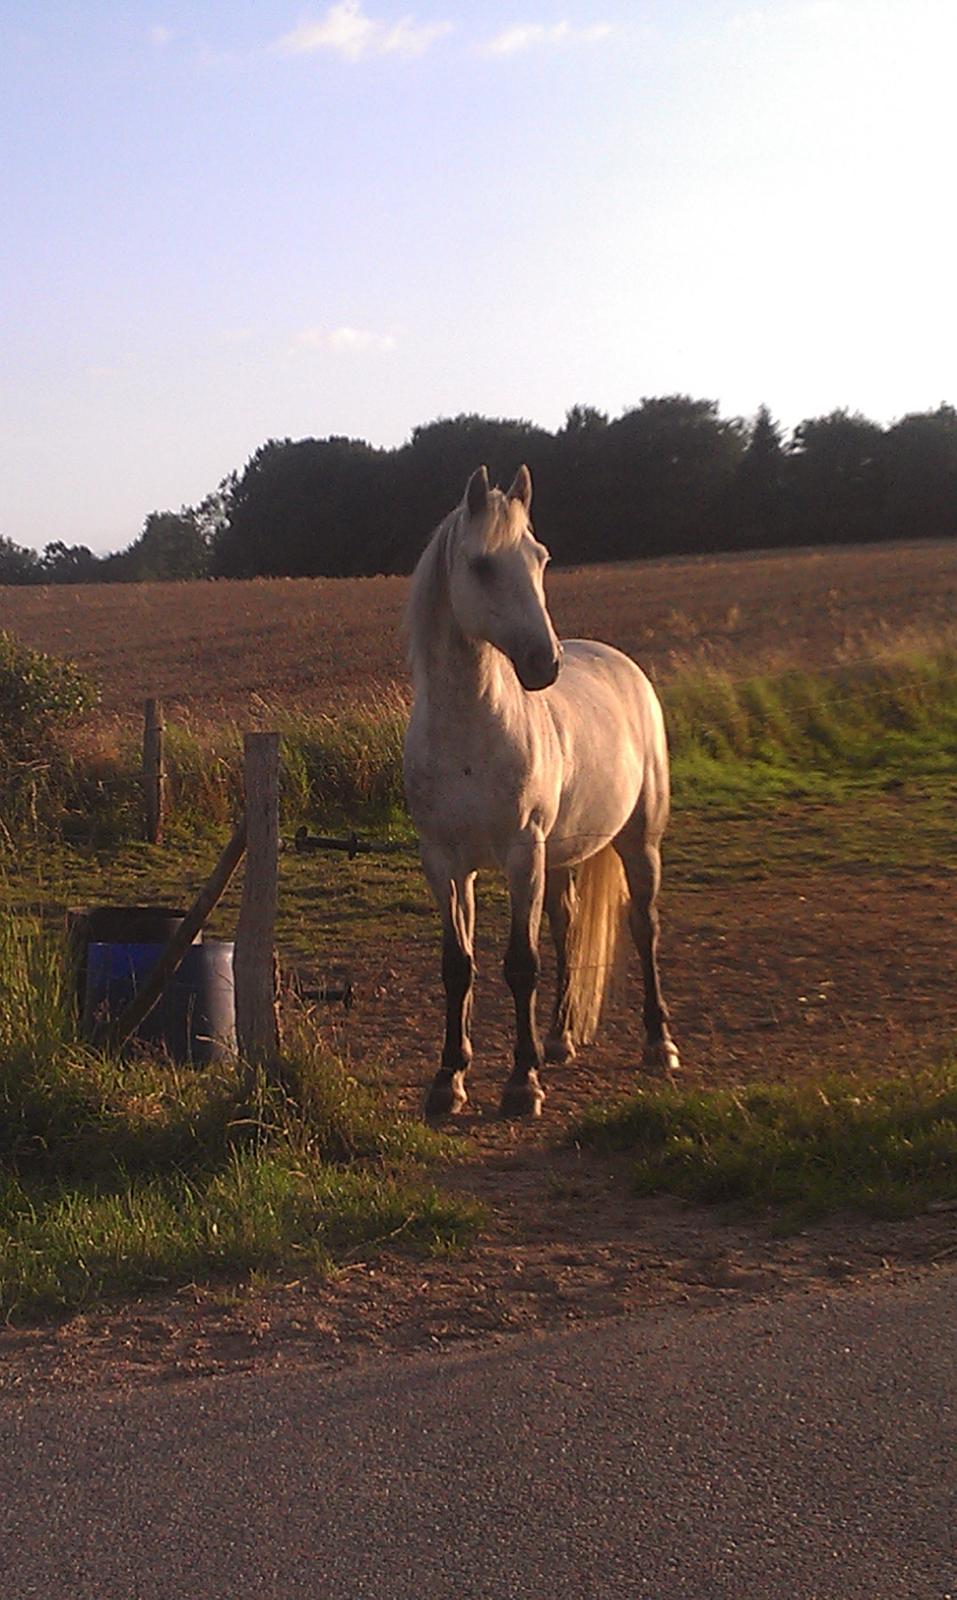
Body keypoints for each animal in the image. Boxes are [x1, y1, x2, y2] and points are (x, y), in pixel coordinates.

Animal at [404, 460, 681, 1113]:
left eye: (541, 557)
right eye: (482, 565)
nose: (543, 663)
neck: (470, 737)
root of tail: (622, 666)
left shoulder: (520, 855)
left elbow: (519, 963)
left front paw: (521, 1082)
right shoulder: (446, 862)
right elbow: (459, 965)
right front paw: (448, 1078)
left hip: (639, 844)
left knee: (644, 927)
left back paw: (658, 1044)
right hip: (561, 858)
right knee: (567, 930)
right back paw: (559, 1040)